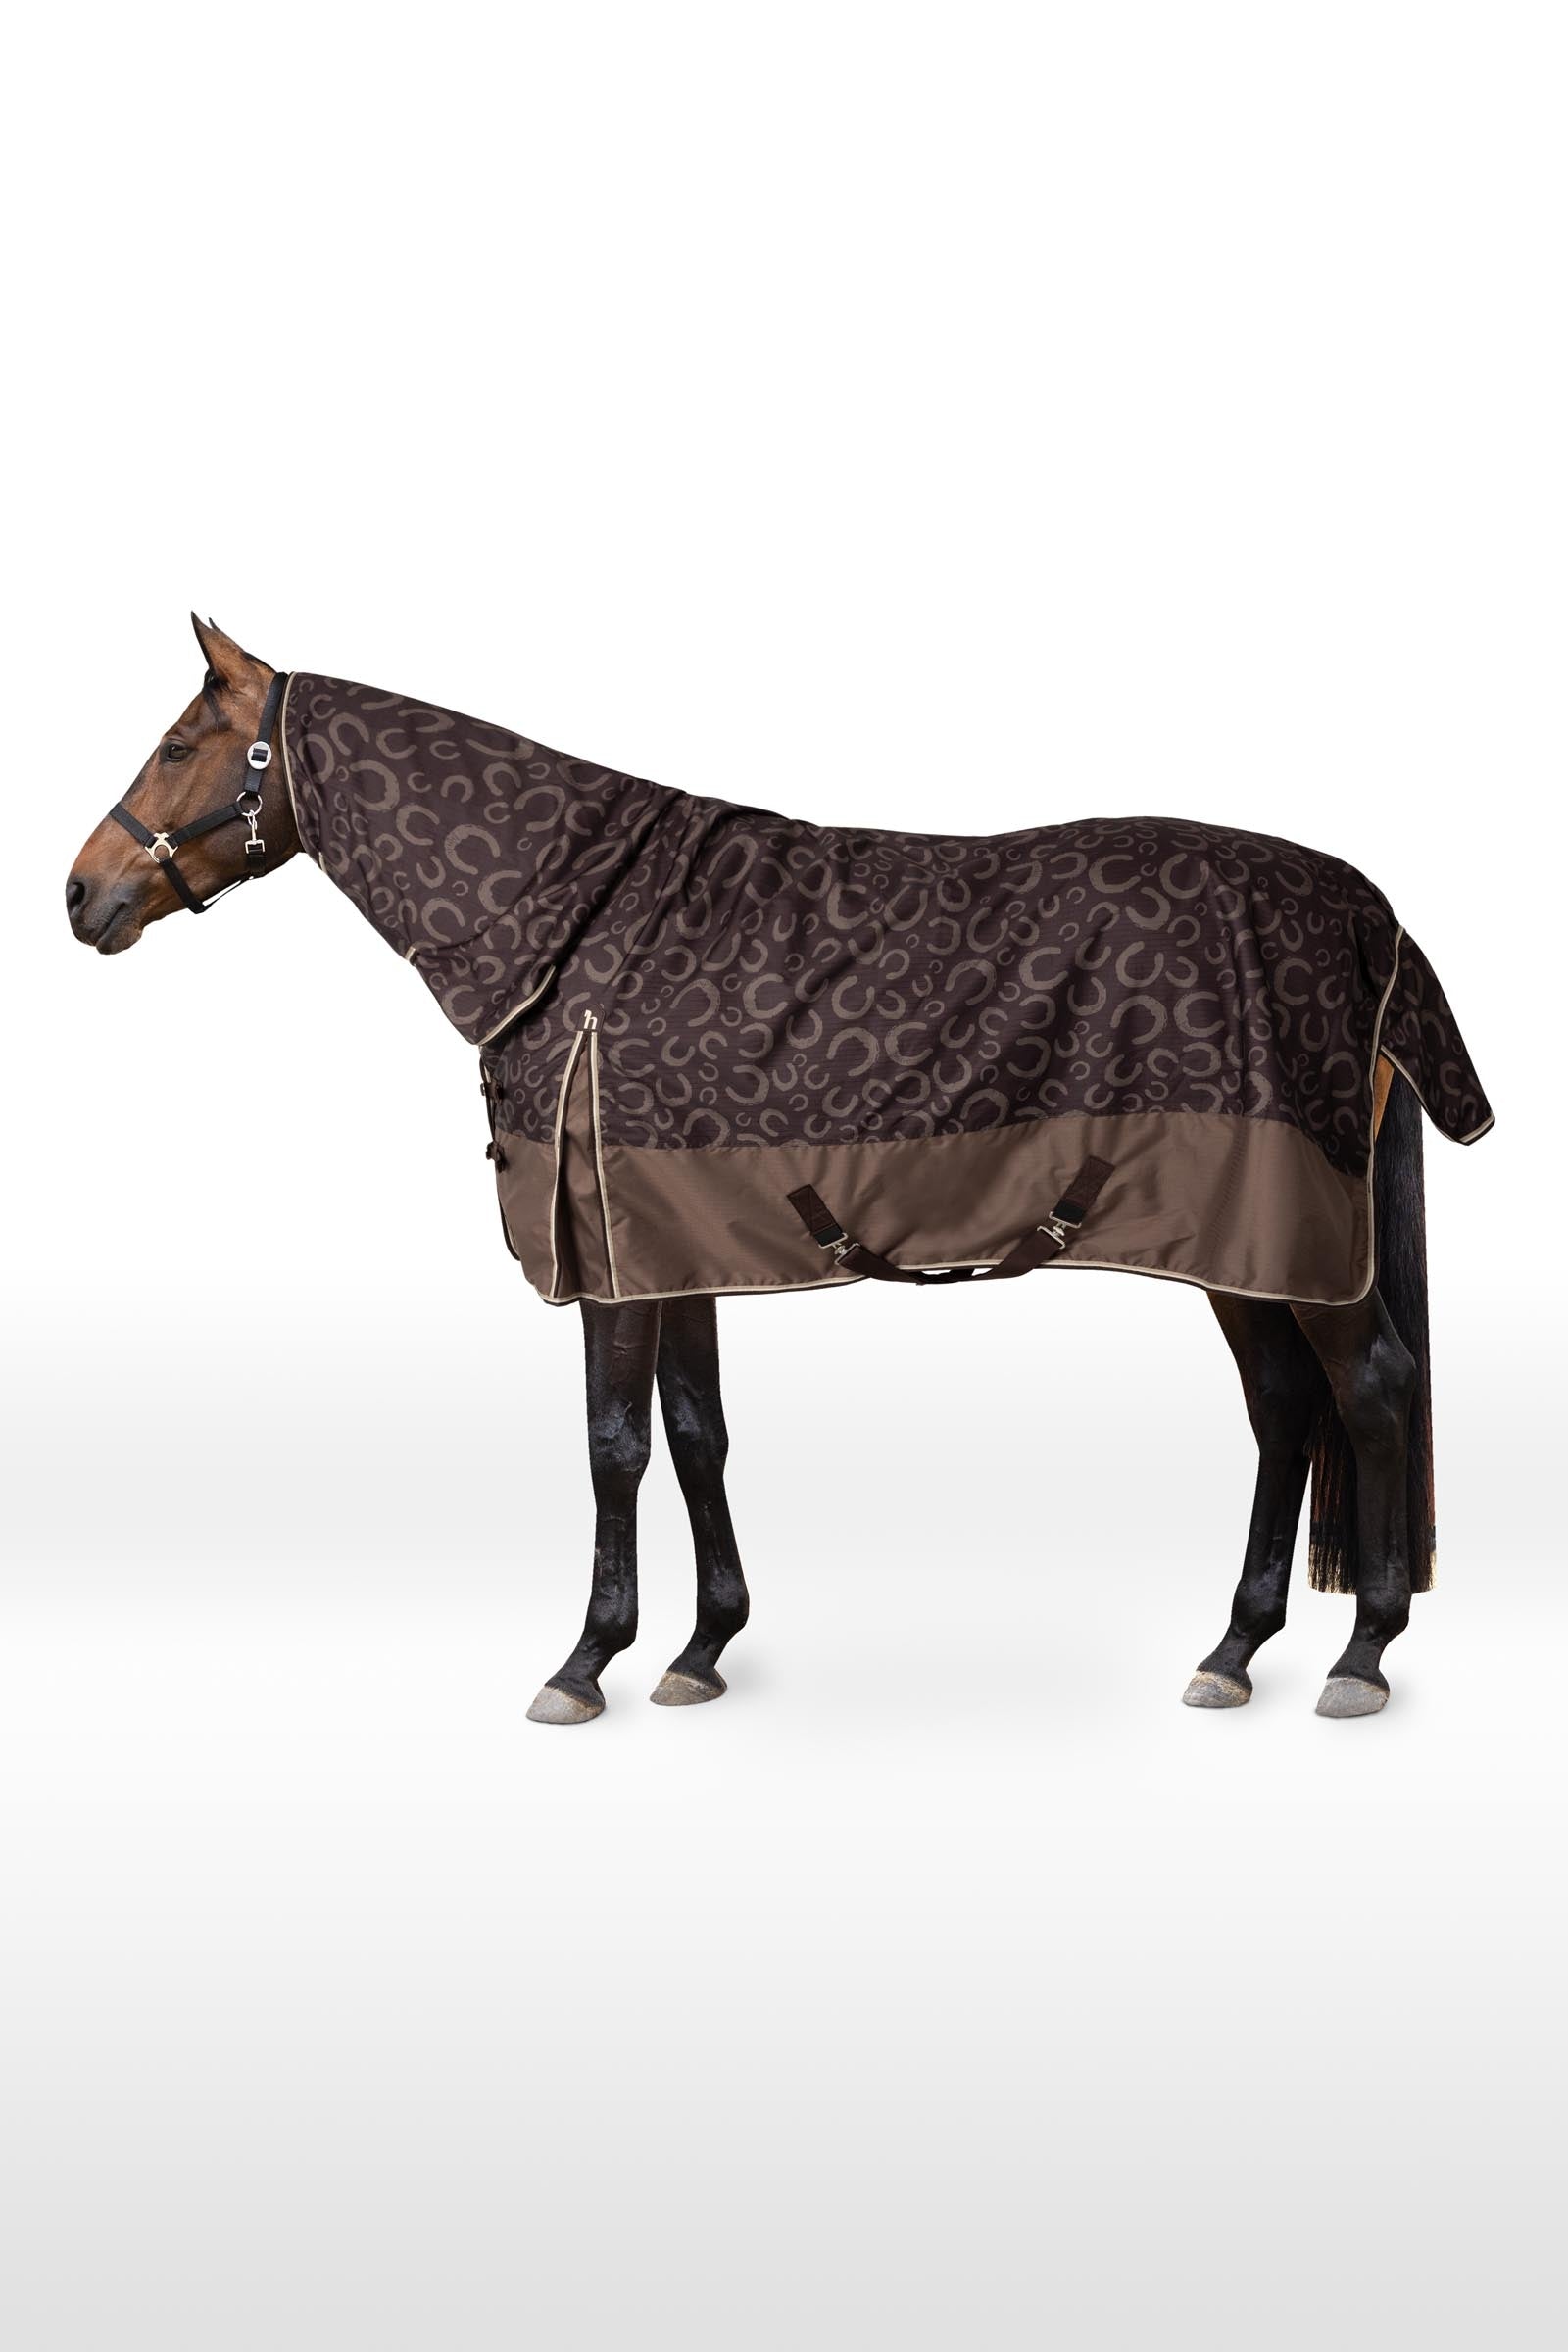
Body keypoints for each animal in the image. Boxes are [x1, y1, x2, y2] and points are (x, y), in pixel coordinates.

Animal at [66, 618, 1493, 1724]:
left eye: (181, 745)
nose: (81, 896)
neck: (577, 925)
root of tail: (1369, 919)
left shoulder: (613, 1266)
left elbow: (613, 1448)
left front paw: (585, 1663)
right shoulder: (670, 1235)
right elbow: (697, 1433)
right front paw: (701, 1650)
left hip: (1292, 1237)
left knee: (1369, 1390)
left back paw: (1361, 1656)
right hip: (1237, 1244)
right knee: (1285, 1409)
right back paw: (1234, 1651)